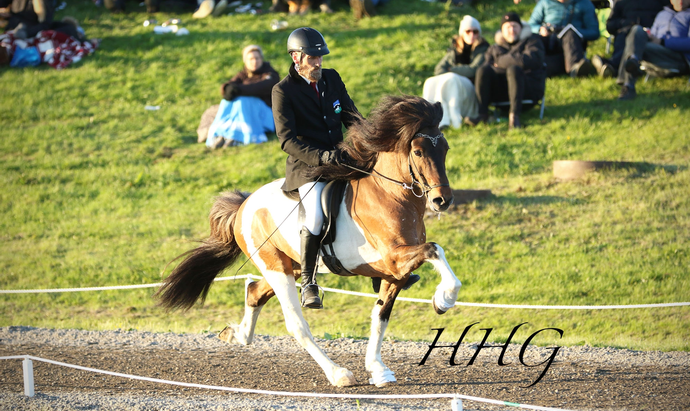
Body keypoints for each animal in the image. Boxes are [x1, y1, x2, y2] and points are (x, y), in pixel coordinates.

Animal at [153, 96, 460, 390]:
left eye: (445, 148)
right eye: (418, 151)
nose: (442, 200)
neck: (390, 195)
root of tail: (244, 205)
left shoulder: (394, 273)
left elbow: (380, 316)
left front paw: (378, 369)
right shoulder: (394, 258)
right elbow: (435, 249)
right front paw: (444, 298)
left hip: (290, 265)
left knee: (254, 291)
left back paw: (236, 334)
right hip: (276, 267)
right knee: (296, 323)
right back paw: (337, 374)